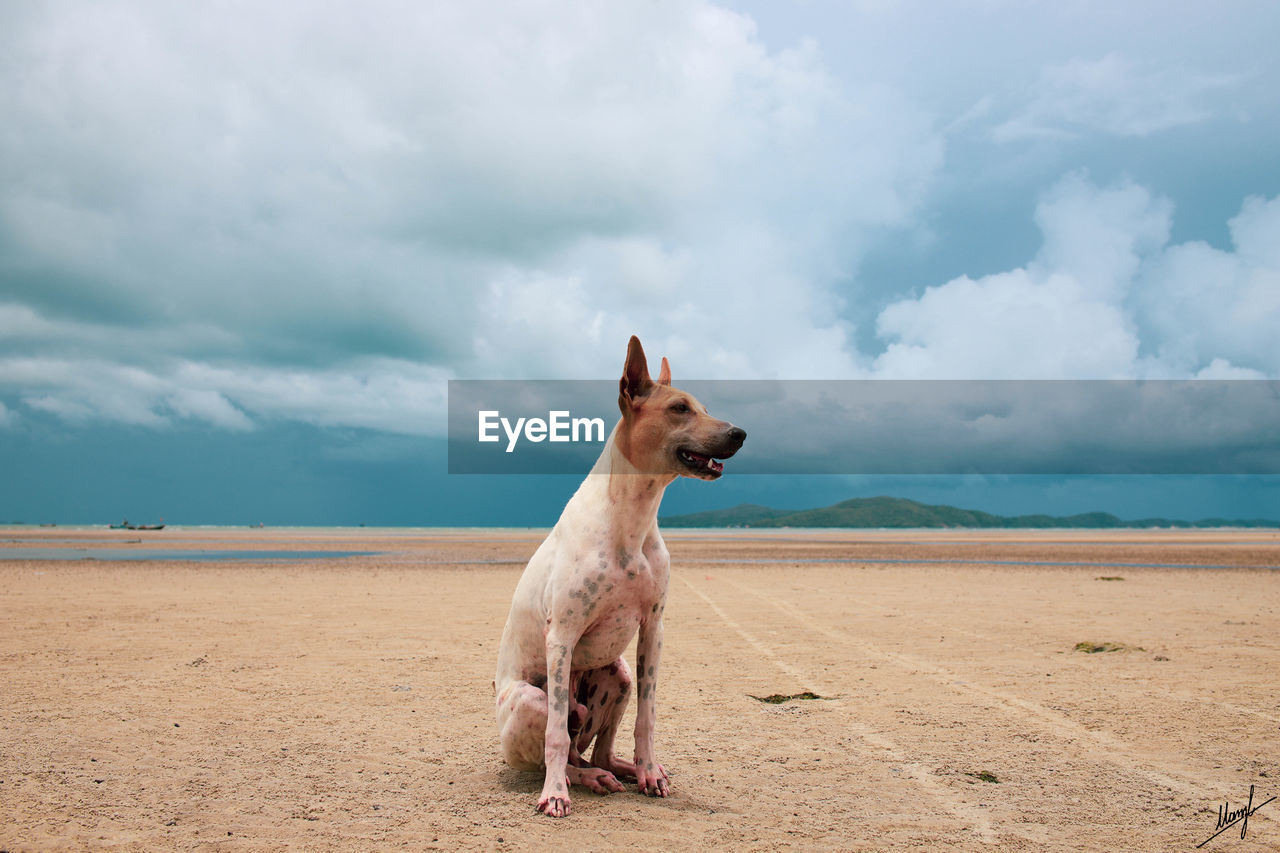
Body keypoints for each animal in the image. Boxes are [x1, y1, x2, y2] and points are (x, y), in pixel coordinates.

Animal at [494, 335, 747, 814]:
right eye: (679, 408)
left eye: (704, 407)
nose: (740, 433)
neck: (631, 518)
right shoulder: (562, 637)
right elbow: (556, 736)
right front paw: (554, 795)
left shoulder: (653, 627)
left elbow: (648, 717)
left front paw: (648, 772)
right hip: (530, 698)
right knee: (562, 745)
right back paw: (577, 779)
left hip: (619, 676)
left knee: (599, 749)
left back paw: (622, 770)